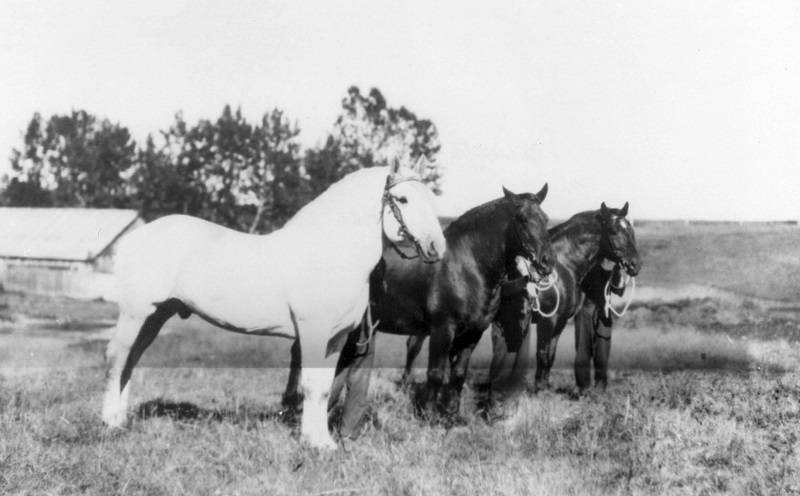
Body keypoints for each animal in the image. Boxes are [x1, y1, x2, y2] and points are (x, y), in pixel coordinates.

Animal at [101, 158, 446, 450]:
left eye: (432, 199)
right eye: (403, 199)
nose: (436, 247)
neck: (331, 250)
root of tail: (132, 238)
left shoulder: (335, 338)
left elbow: (325, 387)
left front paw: (323, 441)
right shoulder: (313, 332)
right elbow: (311, 385)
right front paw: (312, 443)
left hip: (157, 315)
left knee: (131, 360)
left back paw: (122, 418)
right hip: (135, 314)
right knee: (117, 358)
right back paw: (110, 422)